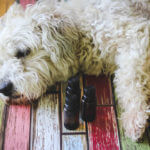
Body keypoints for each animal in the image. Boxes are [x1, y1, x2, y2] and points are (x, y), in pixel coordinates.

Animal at [0, 0, 150, 141]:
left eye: (23, 52)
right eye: (1, 62)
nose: (3, 88)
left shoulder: (136, 36)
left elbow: (129, 79)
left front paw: (135, 117)